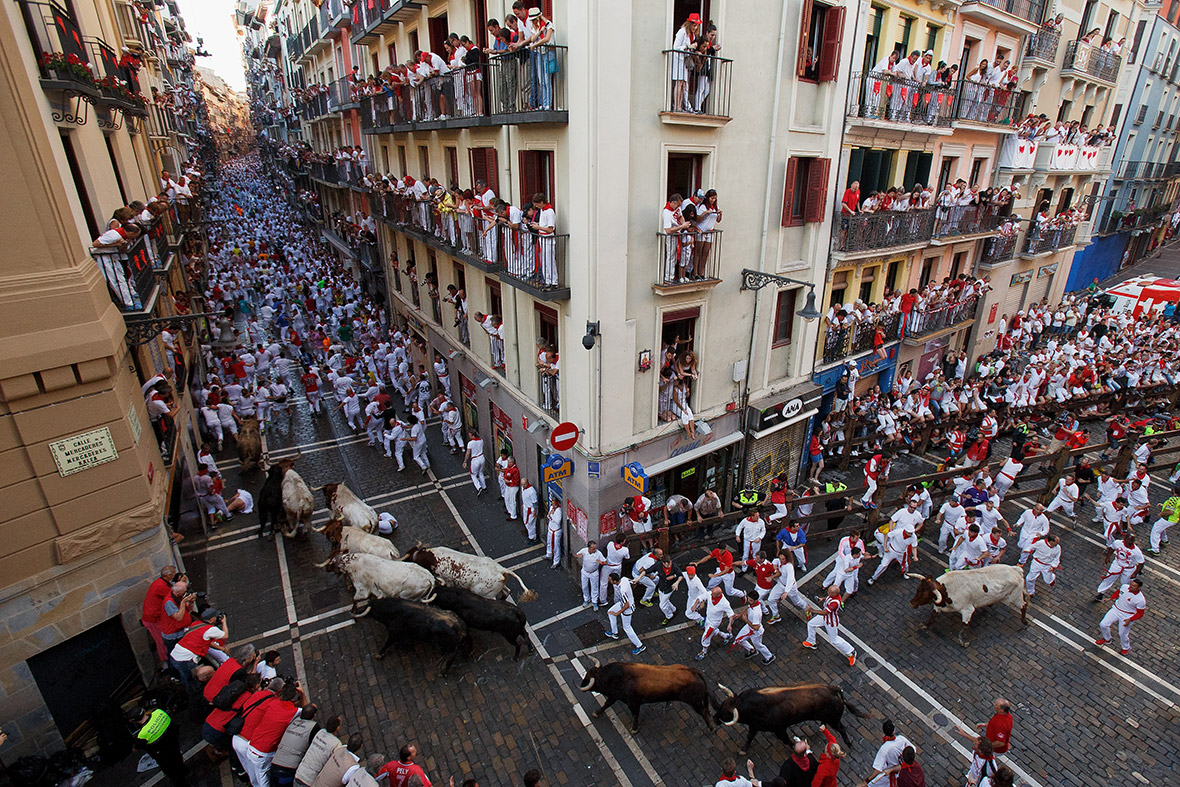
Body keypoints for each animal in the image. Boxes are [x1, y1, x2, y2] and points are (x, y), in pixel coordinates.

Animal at [707, 679, 868, 755]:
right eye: (721, 706)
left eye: (726, 713)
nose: (714, 718)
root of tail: (833, 689)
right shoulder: (755, 726)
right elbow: (750, 737)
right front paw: (744, 749)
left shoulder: (779, 729)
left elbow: (786, 740)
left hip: (834, 719)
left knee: (842, 728)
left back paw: (849, 744)